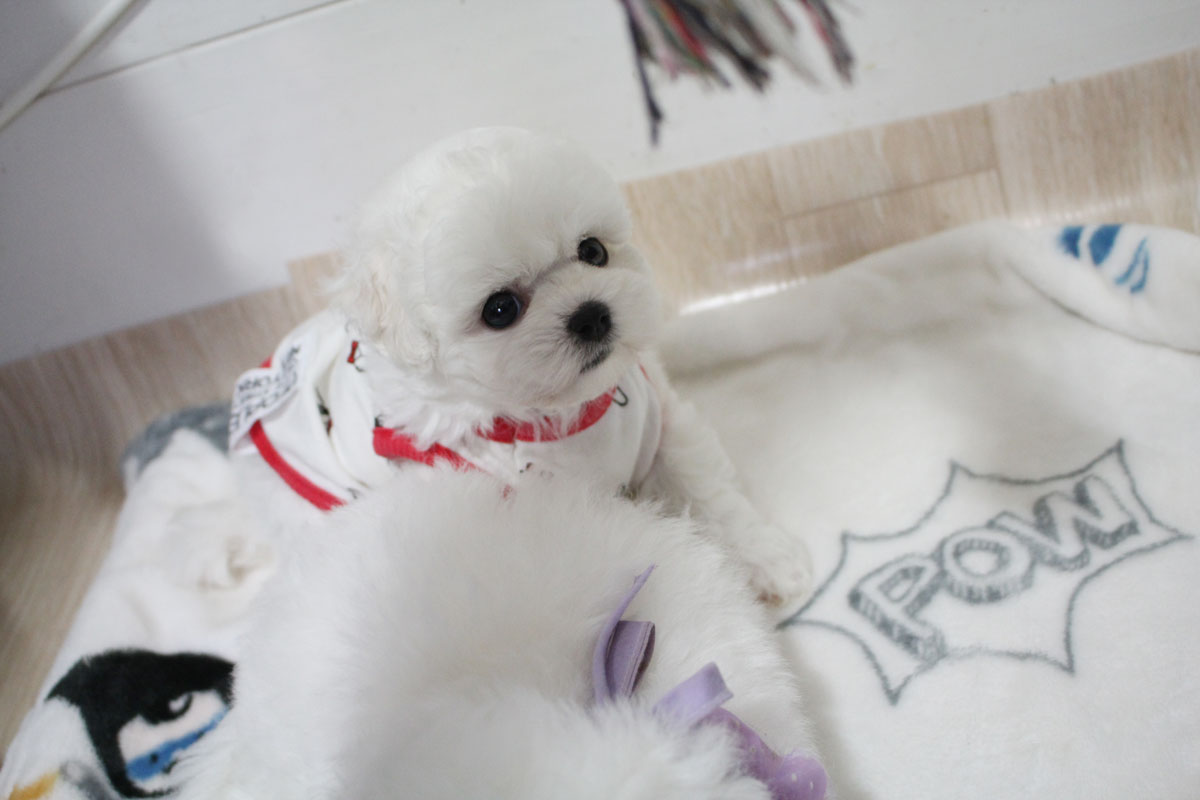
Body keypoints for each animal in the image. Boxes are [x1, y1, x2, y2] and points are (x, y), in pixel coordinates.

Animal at [226, 127, 811, 605]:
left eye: (593, 251)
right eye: (500, 309)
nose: (592, 315)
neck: (559, 415)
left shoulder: (660, 416)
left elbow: (706, 486)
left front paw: (767, 559)